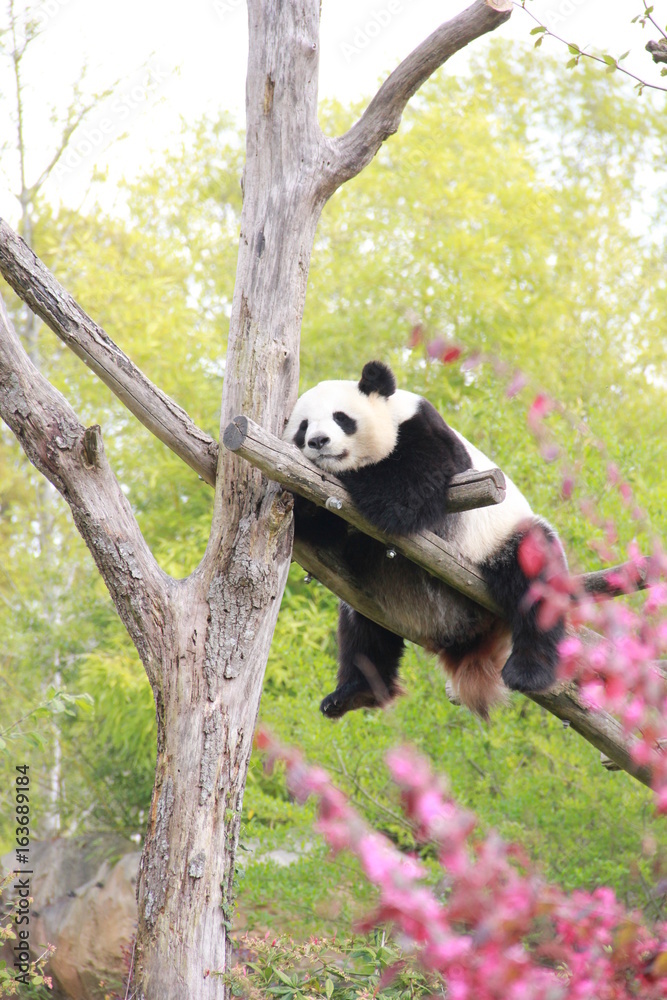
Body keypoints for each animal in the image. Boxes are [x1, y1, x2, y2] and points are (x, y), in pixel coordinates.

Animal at [283, 360, 567, 719]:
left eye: (341, 417)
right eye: (303, 426)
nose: (318, 441)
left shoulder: (426, 432)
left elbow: (404, 492)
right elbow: (328, 529)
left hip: (496, 542)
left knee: (535, 574)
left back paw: (529, 671)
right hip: (371, 599)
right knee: (361, 630)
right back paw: (354, 693)